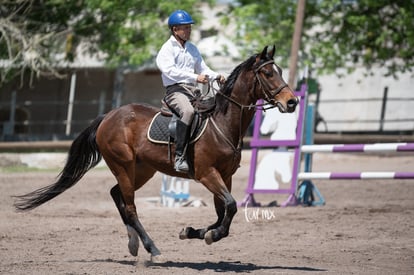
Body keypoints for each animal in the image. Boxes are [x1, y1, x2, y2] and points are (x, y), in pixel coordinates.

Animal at [12, 45, 298, 264]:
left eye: (280, 71)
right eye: (268, 73)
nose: (292, 102)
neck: (222, 123)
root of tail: (109, 116)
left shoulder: (224, 176)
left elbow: (224, 211)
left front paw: (192, 231)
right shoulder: (207, 174)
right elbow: (230, 206)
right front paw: (209, 235)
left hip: (142, 170)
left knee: (116, 194)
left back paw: (134, 244)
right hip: (123, 165)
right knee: (130, 207)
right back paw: (153, 249)